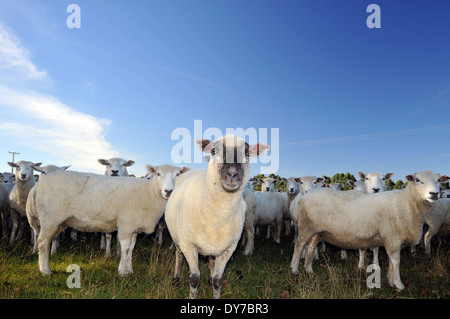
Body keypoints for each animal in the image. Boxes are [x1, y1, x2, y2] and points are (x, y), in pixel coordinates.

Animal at [26, 164, 189, 276]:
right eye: (158, 174)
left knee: (47, 240)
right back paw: (45, 270)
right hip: (50, 218)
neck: (149, 193)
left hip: (58, 221)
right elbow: (125, 248)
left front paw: (129, 269)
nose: (169, 191)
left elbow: (132, 248)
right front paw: (122, 271)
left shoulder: (134, 227)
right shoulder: (125, 225)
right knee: (42, 242)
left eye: (177, 174)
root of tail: (38, 186)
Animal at [166, 135, 268, 300]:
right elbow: (194, 279)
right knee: (178, 255)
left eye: (247, 153)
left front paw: (214, 284)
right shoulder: (189, 245)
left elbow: (218, 280)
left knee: (211, 259)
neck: (219, 217)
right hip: (178, 238)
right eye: (213, 151)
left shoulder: (229, 248)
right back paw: (176, 278)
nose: (232, 174)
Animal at [290, 171, 448, 292]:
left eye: (438, 180)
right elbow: (396, 261)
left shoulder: (390, 239)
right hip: (306, 226)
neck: (407, 203)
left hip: (317, 230)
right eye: (418, 180)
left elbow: (391, 261)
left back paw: (309, 269)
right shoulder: (393, 237)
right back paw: (294, 269)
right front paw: (399, 284)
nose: (434, 193)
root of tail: (303, 197)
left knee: (311, 247)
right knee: (299, 245)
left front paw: (390, 281)